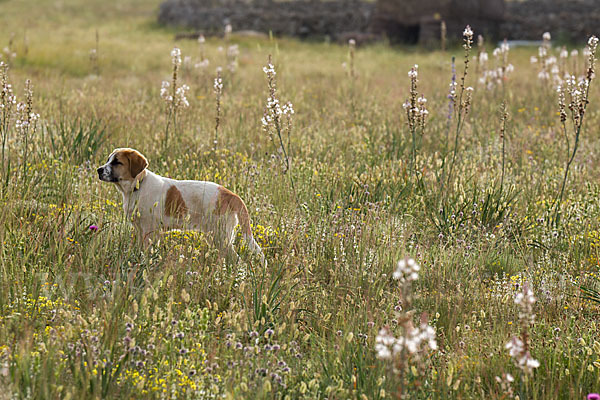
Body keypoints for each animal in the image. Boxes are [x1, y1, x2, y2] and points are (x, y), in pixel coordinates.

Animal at [96, 148, 264, 262]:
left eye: (117, 162)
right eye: (108, 160)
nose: (98, 170)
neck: (138, 186)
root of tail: (230, 194)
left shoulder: (150, 231)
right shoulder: (140, 230)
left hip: (220, 236)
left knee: (237, 260)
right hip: (216, 237)